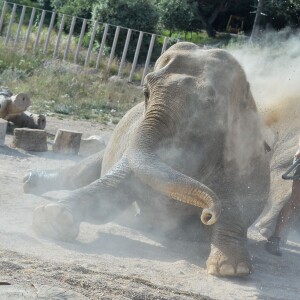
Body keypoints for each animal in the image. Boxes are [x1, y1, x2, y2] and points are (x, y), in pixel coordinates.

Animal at [22, 41, 270, 276]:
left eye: (208, 101)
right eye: (146, 92)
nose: (208, 214)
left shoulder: (247, 150)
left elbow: (247, 200)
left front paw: (231, 269)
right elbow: (115, 186)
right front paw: (51, 218)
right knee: (82, 171)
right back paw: (30, 181)